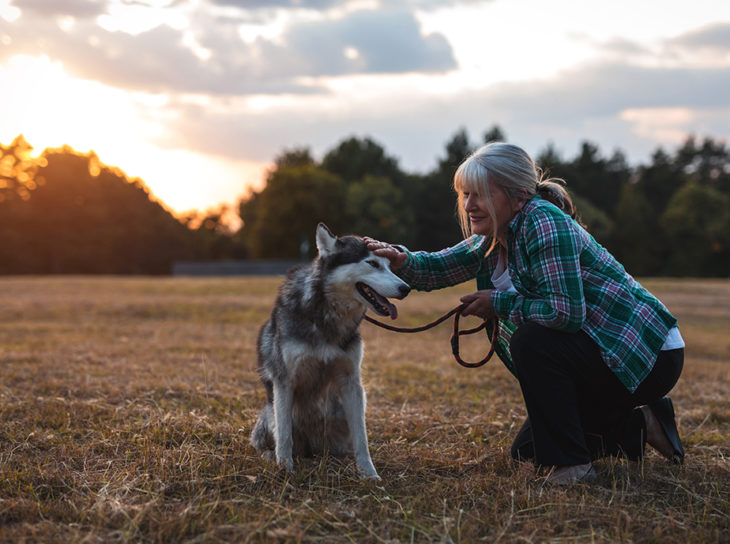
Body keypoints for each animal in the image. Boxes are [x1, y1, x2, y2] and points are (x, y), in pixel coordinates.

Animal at [249, 223, 410, 478]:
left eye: (388, 265)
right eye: (372, 263)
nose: (406, 288)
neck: (328, 317)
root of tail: (311, 448)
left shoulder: (351, 382)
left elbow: (361, 438)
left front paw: (369, 474)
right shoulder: (284, 381)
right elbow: (284, 435)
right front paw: (285, 469)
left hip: (343, 410)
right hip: (269, 413)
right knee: (268, 439)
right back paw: (270, 457)